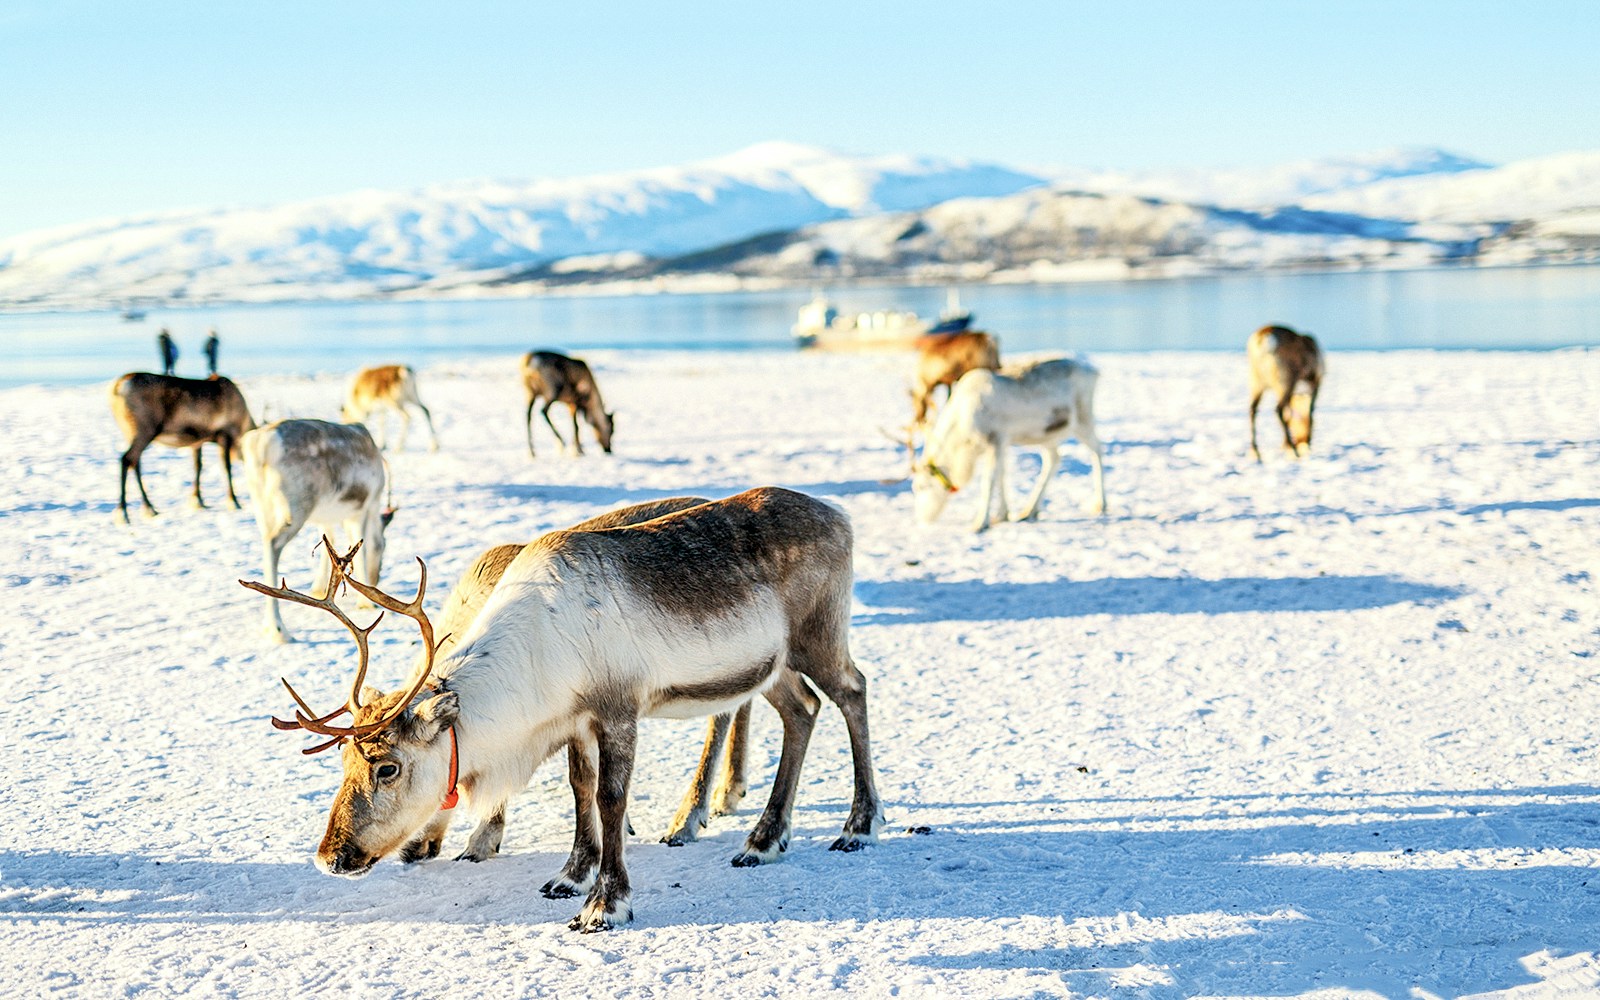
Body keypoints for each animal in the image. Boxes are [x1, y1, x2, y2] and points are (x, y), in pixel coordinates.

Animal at [108, 372, 256, 523]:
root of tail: (117, 388)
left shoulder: (197, 442)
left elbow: (198, 466)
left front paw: (198, 500)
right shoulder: (224, 435)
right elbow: (227, 468)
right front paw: (234, 502)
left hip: (132, 435)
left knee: (135, 462)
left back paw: (149, 509)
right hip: (145, 431)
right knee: (127, 459)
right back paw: (123, 513)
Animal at [240, 419, 393, 643]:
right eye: (384, 547)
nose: (376, 581)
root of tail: (262, 445)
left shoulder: (325, 517)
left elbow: (328, 542)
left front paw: (319, 588)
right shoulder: (361, 508)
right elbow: (362, 546)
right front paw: (366, 603)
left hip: (261, 504)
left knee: (265, 538)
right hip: (297, 506)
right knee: (273, 544)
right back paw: (279, 629)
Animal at [913, 357, 1106, 532]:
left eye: (921, 486)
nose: (922, 519)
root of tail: (1094, 371)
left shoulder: (995, 440)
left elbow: (989, 480)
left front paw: (980, 523)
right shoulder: (1003, 443)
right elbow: (1001, 476)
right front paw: (1002, 515)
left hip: (1082, 421)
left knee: (1097, 449)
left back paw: (1101, 504)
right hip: (1047, 435)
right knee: (1054, 459)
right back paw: (1029, 511)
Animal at [1248, 325, 1324, 461]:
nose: (1301, 440)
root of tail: (1263, 338)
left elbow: (1290, 414)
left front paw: (1284, 446)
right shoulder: (1316, 381)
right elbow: (1310, 411)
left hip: (1257, 381)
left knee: (1253, 409)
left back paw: (1255, 452)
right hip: (1285, 382)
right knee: (1278, 409)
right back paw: (1293, 451)